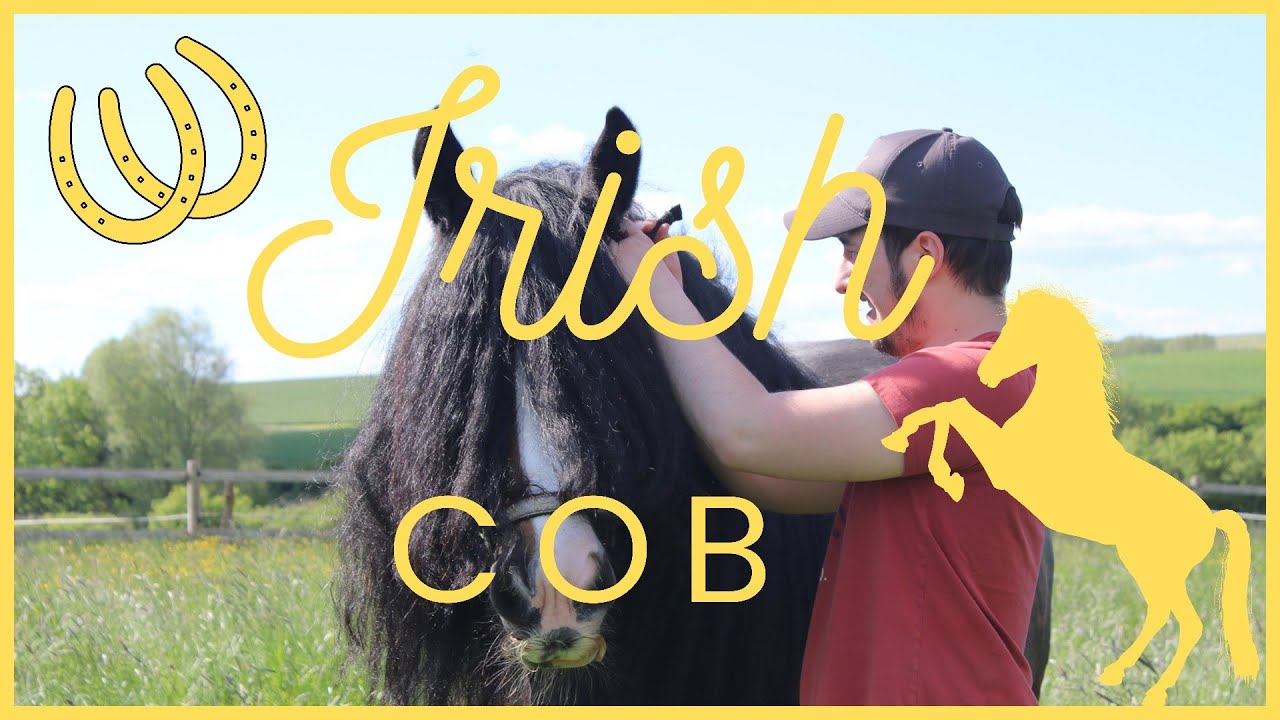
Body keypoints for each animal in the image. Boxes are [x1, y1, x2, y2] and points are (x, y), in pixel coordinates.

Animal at [881, 288, 1258, 706]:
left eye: (1023, 331)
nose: (985, 374)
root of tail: (1210, 517)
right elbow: (949, 410)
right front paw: (923, 457)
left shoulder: (1002, 465)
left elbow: (954, 408)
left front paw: (933, 466)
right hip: (1148, 569)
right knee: (1162, 615)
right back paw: (1116, 672)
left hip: (1155, 569)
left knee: (1188, 624)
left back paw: (1153, 690)